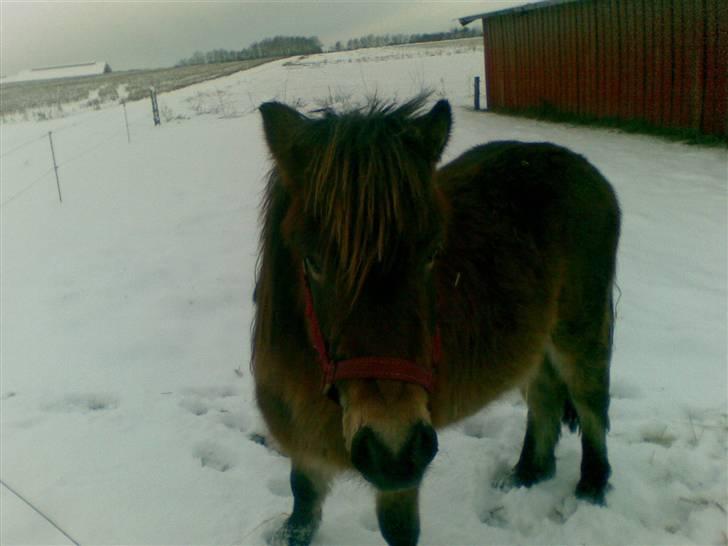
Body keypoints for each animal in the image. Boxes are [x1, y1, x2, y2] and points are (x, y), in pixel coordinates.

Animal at [252, 98, 620, 544]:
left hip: (580, 333)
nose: (393, 448)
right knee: (545, 397)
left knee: (591, 404)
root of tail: (582, 167)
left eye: (431, 253)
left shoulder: (401, 478)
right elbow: (302, 497)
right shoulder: (304, 447)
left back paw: (592, 487)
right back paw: (527, 473)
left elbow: (399, 530)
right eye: (313, 260)